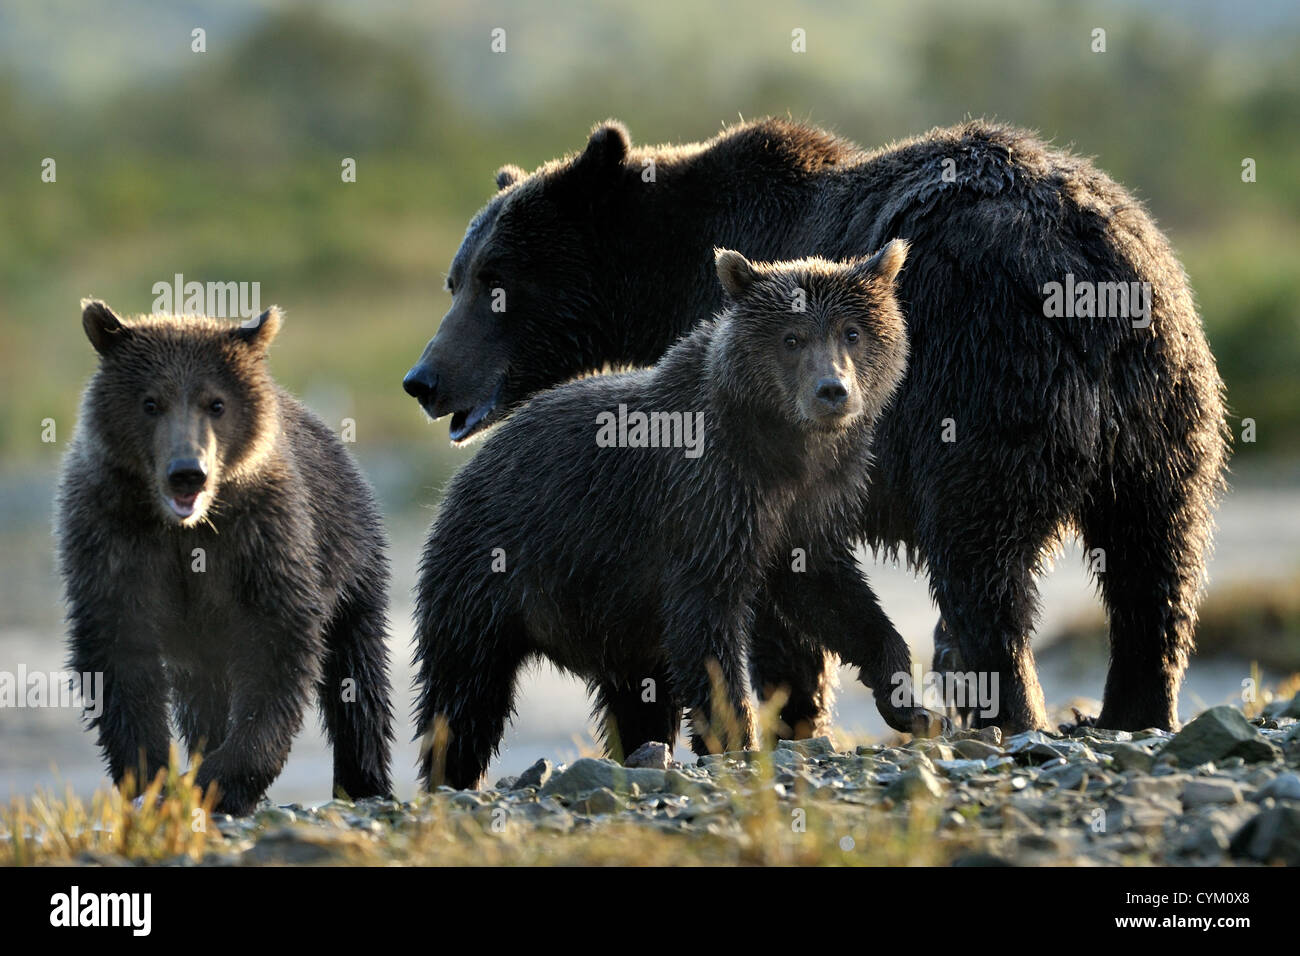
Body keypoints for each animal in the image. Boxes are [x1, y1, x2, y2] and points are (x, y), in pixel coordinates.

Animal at [58, 304, 390, 816]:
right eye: (150, 402)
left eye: (215, 403)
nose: (186, 472)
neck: (184, 528)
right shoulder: (111, 535)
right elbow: (118, 651)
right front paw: (154, 776)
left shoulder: (262, 537)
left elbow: (280, 645)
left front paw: (221, 779)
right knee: (203, 696)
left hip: (350, 552)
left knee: (358, 676)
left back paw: (364, 781)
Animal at [405, 117, 1227, 733]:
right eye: (457, 277)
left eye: (497, 283)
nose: (425, 379)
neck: (661, 278)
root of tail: (1089, 274)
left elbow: (770, 592)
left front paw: (788, 710)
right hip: (1167, 401)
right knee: (1156, 552)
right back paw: (1134, 709)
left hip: (982, 377)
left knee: (983, 553)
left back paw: (1014, 712)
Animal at [413, 243, 935, 790]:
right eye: (791, 339)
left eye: (852, 332)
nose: (831, 390)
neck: (784, 450)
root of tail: (466, 471)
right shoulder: (704, 502)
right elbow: (707, 626)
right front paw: (737, 739)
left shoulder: (811, 508)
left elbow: (834, 595)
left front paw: (907, 700)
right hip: (490, 574)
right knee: (467, 691)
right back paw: (450, 775)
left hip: (617, 624)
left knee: (638, 698)